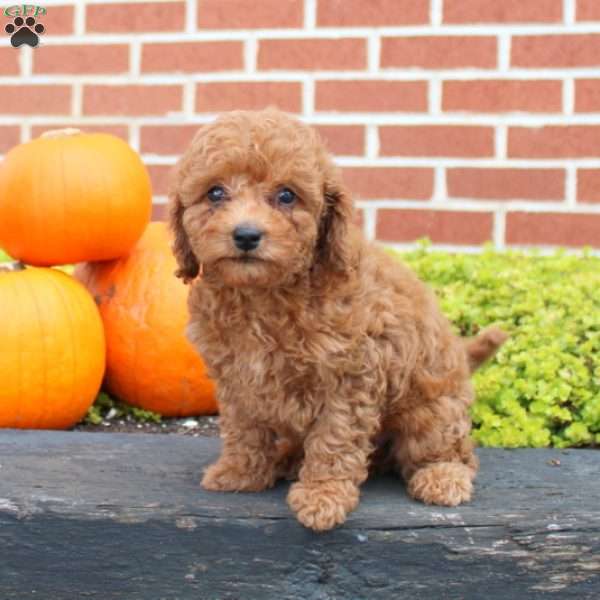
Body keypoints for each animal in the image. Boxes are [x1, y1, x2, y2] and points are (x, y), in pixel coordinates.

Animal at [170, 108, 506, 528]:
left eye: (287, 195)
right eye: (215, 193)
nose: (246, 235)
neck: (263, 294)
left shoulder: (350, 377)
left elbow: (334, 437)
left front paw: (322, 495)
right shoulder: (236, 378)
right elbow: (244, 427)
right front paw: (240, 471)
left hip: (432, 410)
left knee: (453, 451)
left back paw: (442, 477)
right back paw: (286, 459)